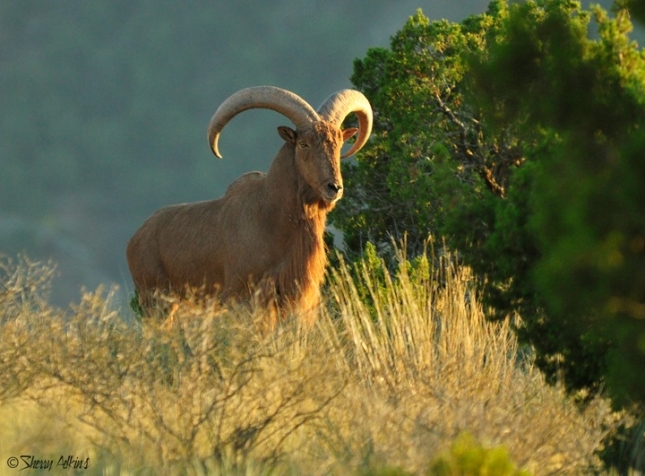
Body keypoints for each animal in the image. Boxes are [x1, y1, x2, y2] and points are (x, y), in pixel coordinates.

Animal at [126, 86, 372, 324]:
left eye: (338, 144)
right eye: (304, 144)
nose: (334, 187)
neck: (271, 217)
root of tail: (134, 240)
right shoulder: (243, 295)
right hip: (156, 301)